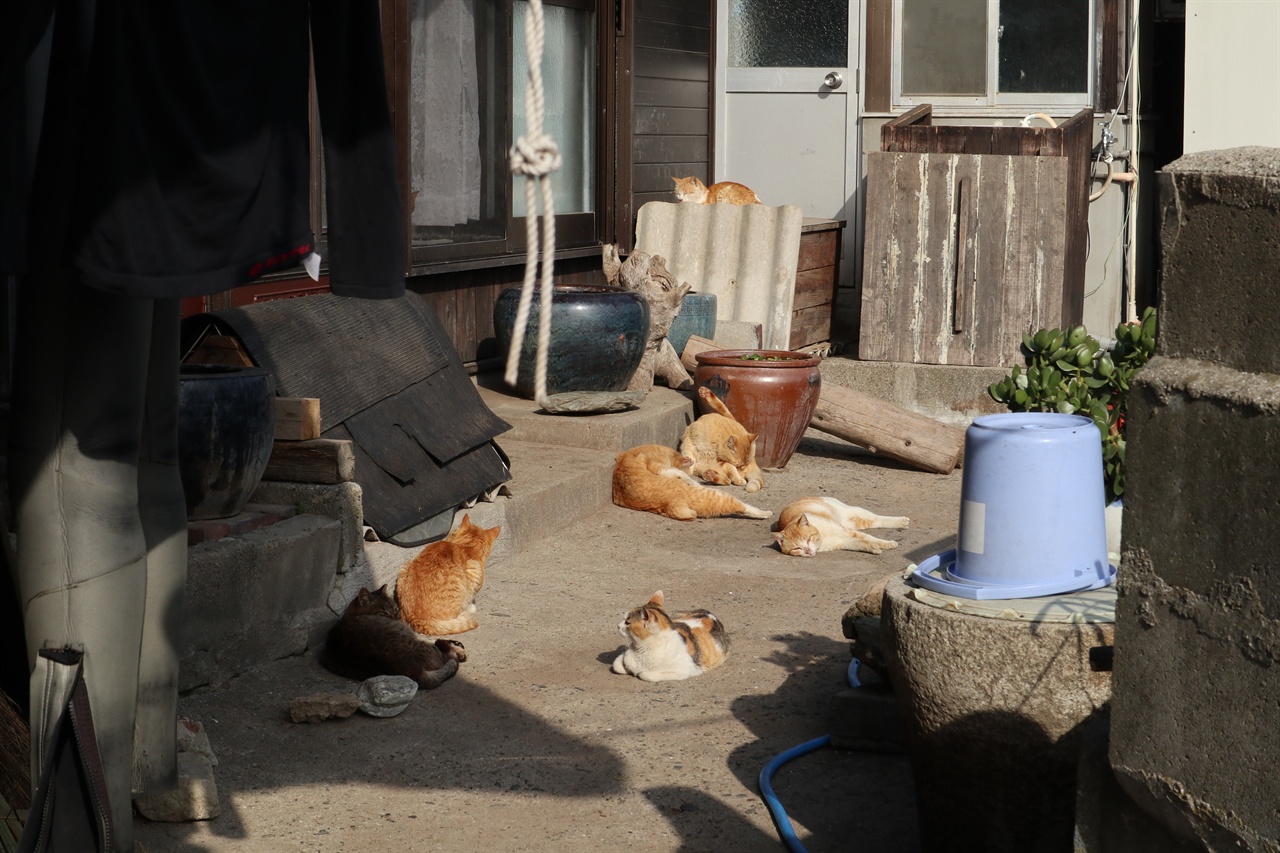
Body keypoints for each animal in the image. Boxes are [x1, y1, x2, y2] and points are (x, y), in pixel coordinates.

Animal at [320, 581, 471, 686]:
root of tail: (413, 672)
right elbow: (430, 640)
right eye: (384, 613)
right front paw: (457, 648)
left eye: (395, 610)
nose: (398, 620)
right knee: (445, 654)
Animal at [611, 440, 768, 522]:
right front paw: (691, 480)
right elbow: (679, 472)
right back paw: (766, 513)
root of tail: (671, 504)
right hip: (717, 495)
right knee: (742, 506)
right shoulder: (657, 465)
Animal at [768, 494, 911, 555]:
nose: (808, 551)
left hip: (850, 512)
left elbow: (870, 538)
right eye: (797, 548)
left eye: (808, 539)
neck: (822, 535)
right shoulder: (842, 541)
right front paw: (872, 547)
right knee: (873, 522)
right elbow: (859, 543)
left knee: (876, 518)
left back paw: (902, 521)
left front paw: (887, 543)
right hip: (853, 522)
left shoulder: (846, 531)